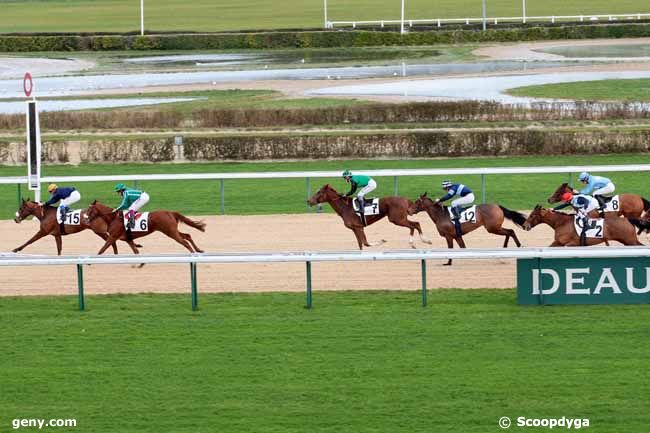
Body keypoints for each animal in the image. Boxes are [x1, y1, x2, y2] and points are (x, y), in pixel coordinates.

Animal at [11, 198, 140, 255]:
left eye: (21, 208)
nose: (16, 219)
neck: (45, 214)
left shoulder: (43, 231)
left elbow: (30, 240)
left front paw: (16, 249)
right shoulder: (57, 235)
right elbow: (59, 249)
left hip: (98, 231)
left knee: (111, 240)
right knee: (112, 240)